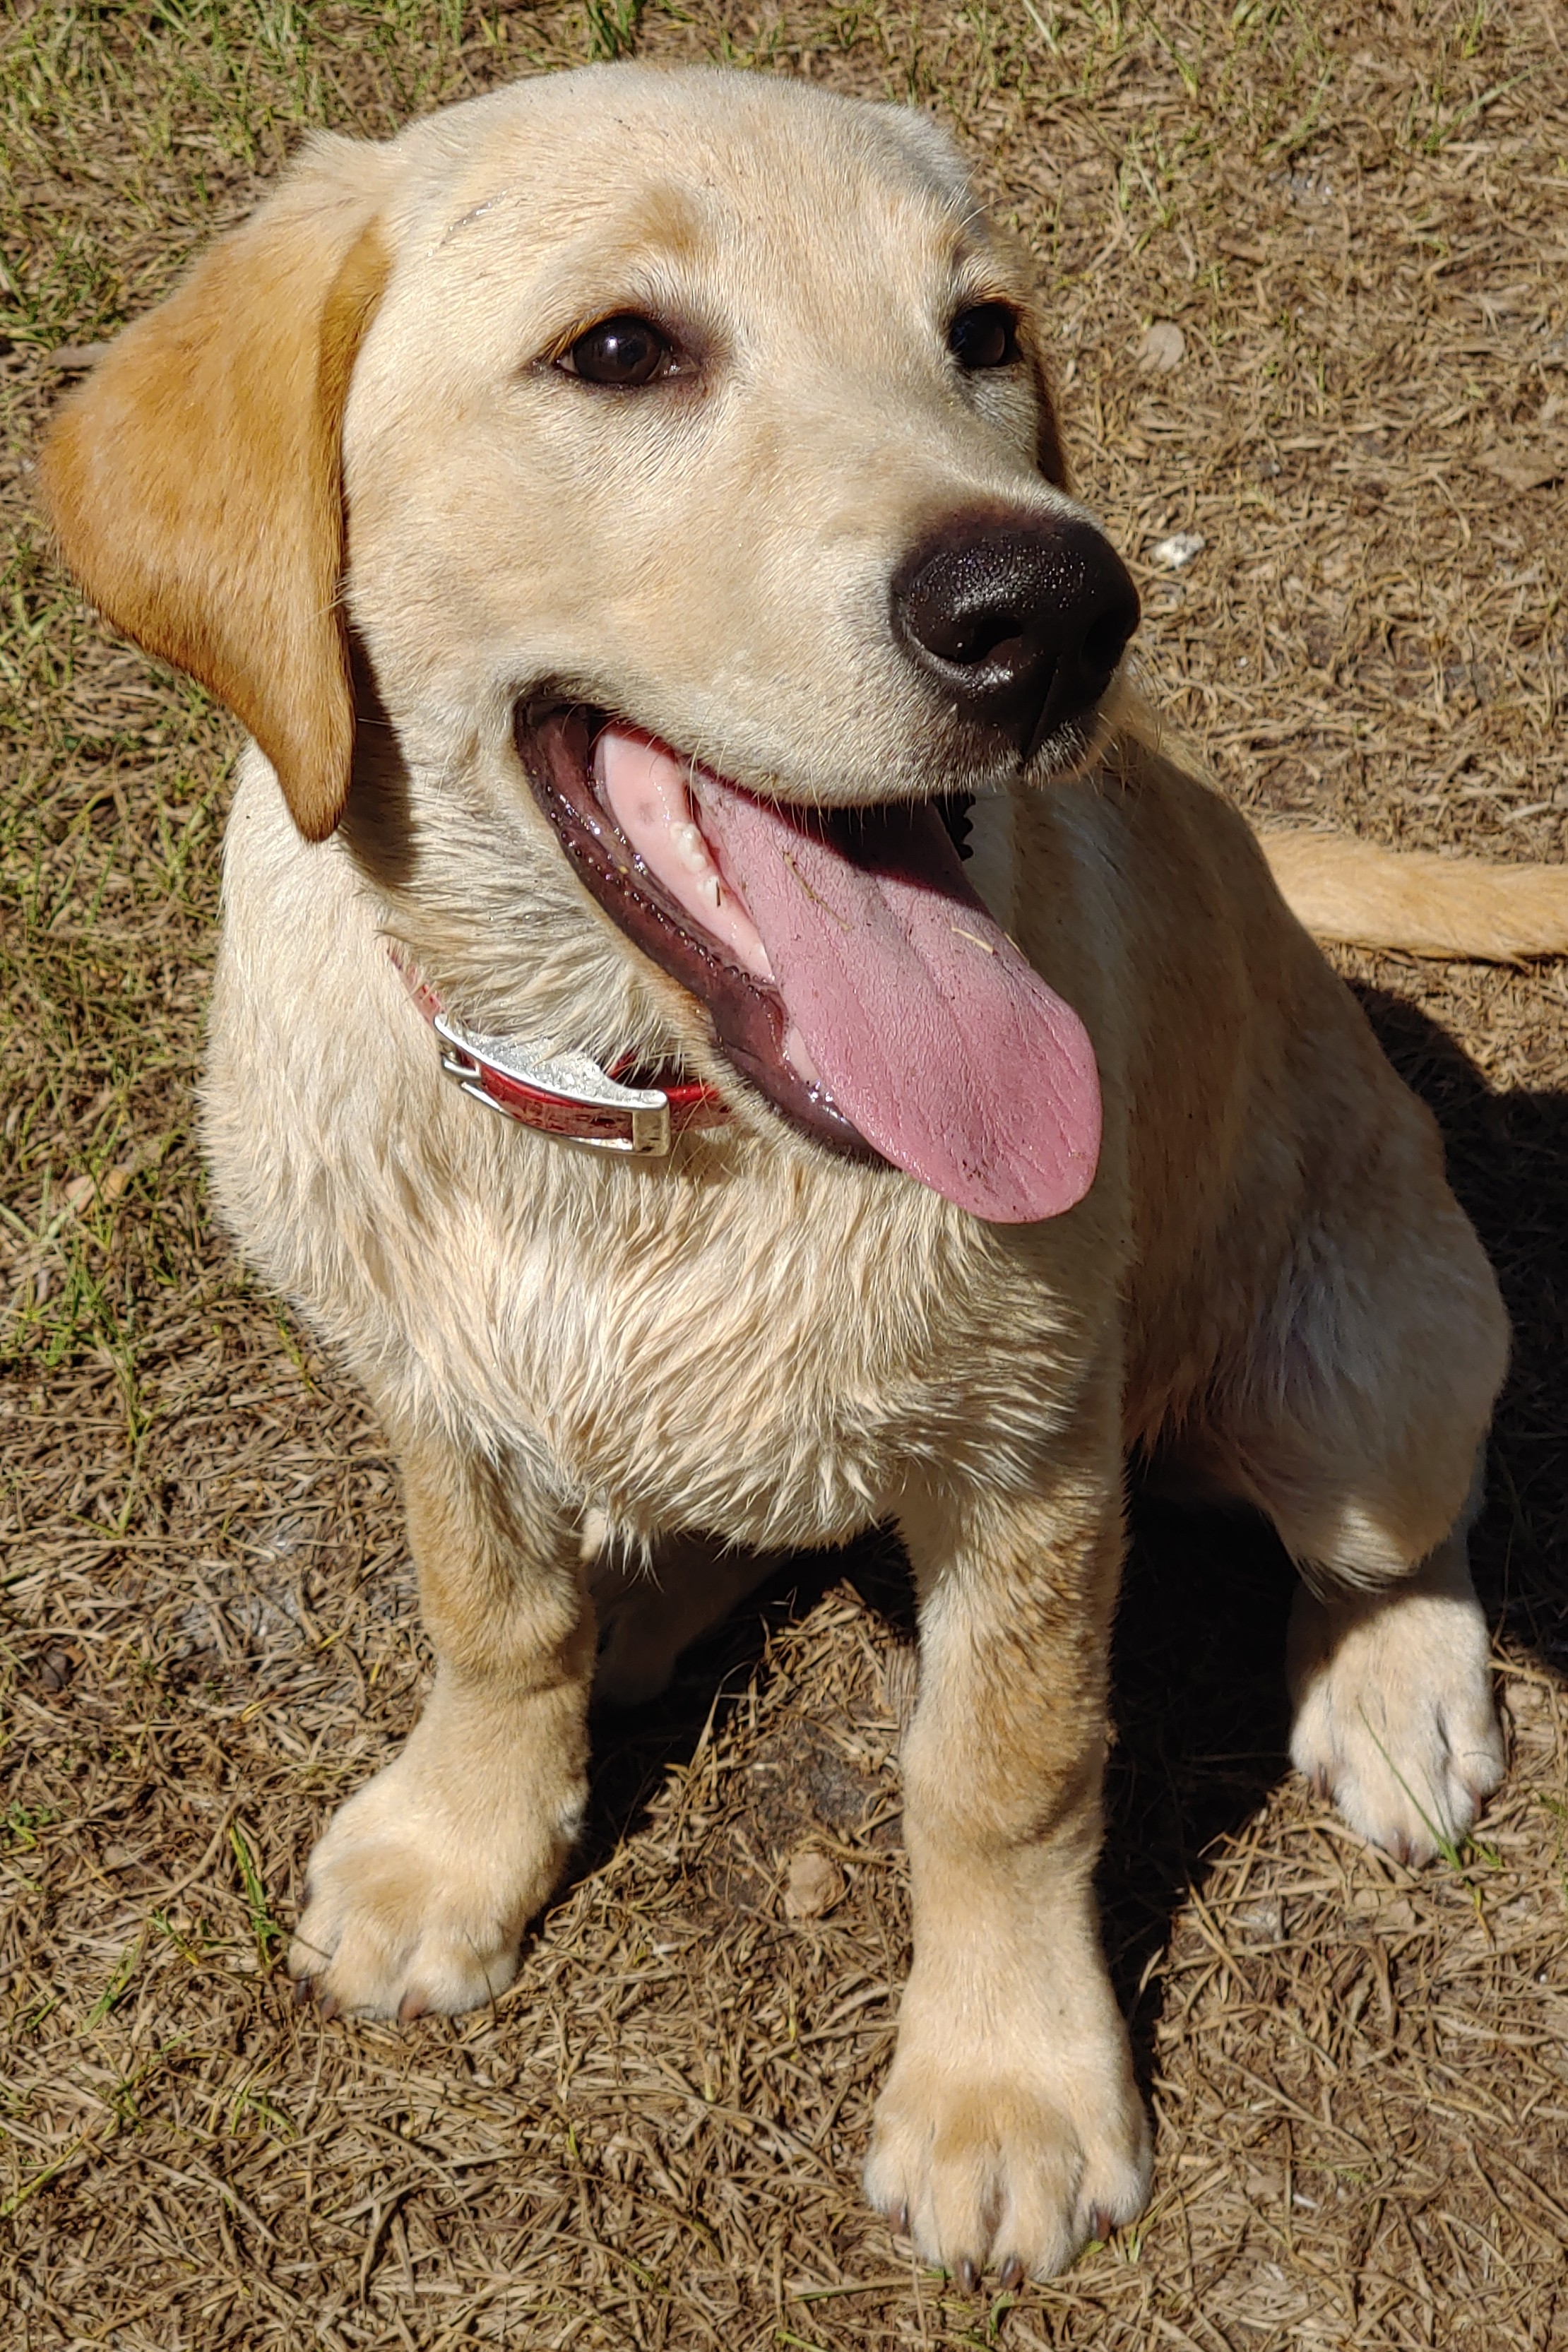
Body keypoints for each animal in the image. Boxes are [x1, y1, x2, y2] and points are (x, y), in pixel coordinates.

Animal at [40, 69, 1523, 2276]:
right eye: (618, 351)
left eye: (981, 334)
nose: (1054, 612)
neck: (640, 1118)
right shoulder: (425, 1373)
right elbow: (488, 1614)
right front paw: (462, 1840)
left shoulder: (1030, 1456)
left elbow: (998, 1773)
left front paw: (1004, 2085)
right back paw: (646, 1598)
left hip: (1367, 1354)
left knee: (1393, 1528)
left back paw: (1398, 1689)